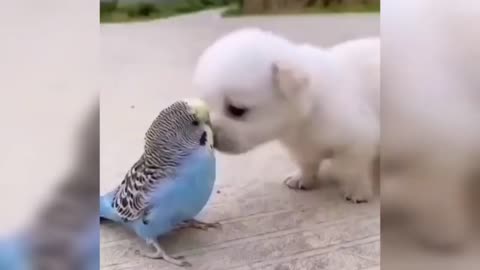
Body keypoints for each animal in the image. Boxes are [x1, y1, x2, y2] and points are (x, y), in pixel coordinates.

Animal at [194, 29, 378, 202]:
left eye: (237, 110)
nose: (213, 138)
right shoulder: (300, 146)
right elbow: (307, 163)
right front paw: (302, 179)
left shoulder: (357, 141)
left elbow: (353, 169)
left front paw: (357, 191)